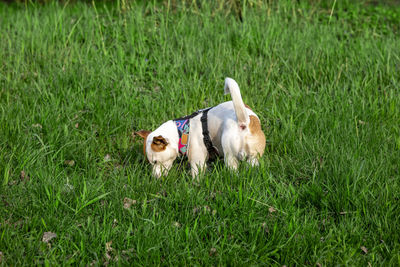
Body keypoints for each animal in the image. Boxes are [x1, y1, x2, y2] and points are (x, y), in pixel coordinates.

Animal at [137, 78, 266, 178]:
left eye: (155, 162)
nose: (154, 178)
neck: (181, 131)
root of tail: (244, 122)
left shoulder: (197, 159)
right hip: (254, 158)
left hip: (230, 154)